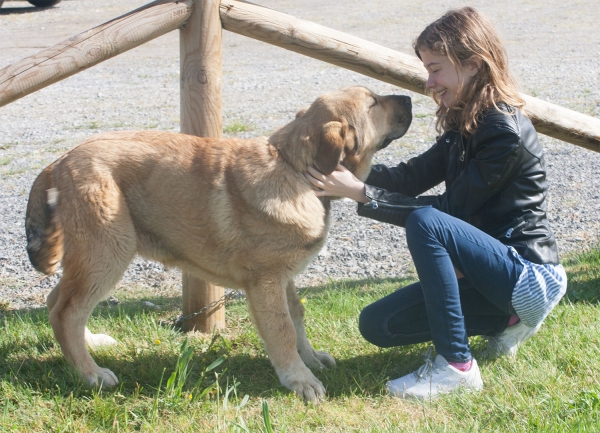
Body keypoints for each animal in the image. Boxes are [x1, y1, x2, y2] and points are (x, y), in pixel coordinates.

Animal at [25, 85, 410, 402]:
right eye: (373, 103)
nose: (408, 97)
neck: (293, 168)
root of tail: (60, 161)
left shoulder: (283, 277)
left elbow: (297, 316)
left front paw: (310, 358)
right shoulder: (266, 280)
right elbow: (282, 330)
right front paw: (299, 380)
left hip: (94, 257)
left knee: (59, 302)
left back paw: (90, 344)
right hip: (108, 251)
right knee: (66, 312)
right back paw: (91, 374)